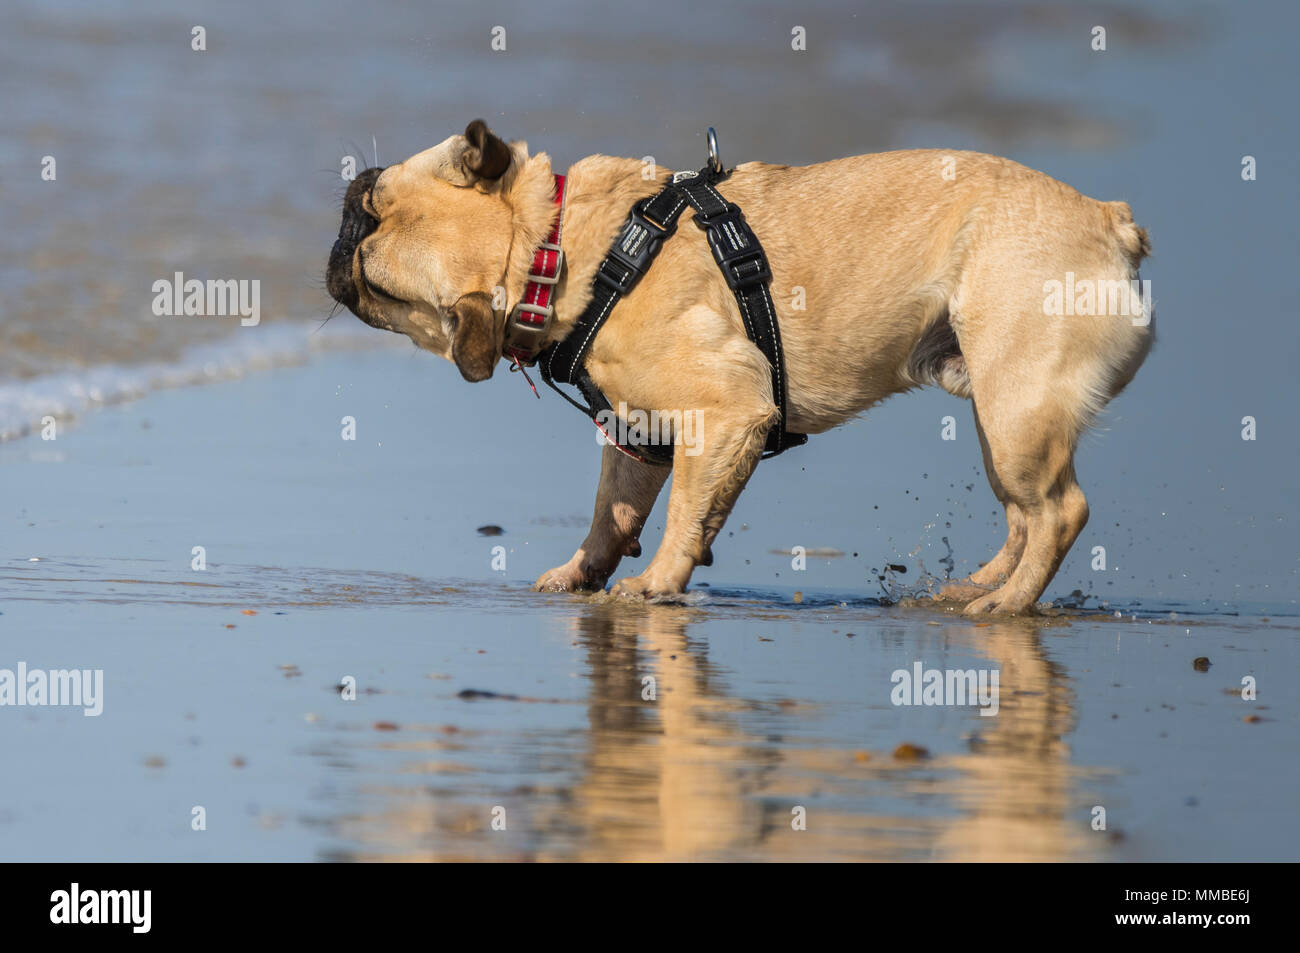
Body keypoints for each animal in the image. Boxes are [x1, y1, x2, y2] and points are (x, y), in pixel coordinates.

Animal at [330, 120, 1154, 608]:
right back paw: (969, 592)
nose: (344, 216)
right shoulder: (640, 433)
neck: (552, 251)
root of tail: (1110, 219)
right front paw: (582, 573)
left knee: (1059, 512)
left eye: (370, 212)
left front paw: (656, 584)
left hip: (1018, 409)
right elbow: (612, 511)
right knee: (1022, 515)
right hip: (997, 411)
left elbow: (684, 515)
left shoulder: (727, 411)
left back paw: (1006, 605)